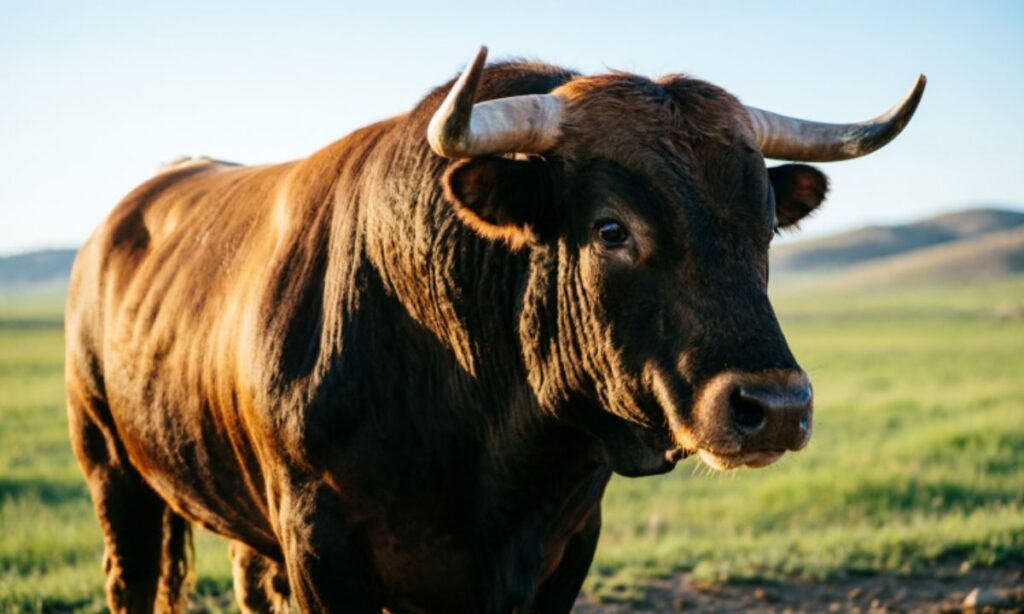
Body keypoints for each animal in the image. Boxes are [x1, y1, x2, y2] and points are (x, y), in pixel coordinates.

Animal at [65, 47, 924, 613]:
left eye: (767, 226)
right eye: (611, 229)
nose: (774, 408)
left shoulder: (565, 544)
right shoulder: (319, 537)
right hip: (112, 470)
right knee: (129, 578)